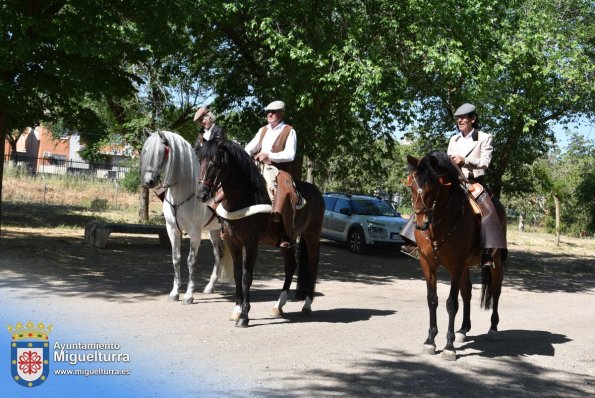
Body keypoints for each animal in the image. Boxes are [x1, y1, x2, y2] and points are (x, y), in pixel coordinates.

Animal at [140, 129, 233, 304]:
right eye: (145, 151)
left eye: (161, 152)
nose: (148, 181)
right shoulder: (172, 230)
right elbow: (176, 258)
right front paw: (175, 292)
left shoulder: (195, 232)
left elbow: (191, 261)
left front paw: (189, 294)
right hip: (214, 230)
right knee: (219, 253)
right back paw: (209, 287)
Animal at [197, 138, 326, 328]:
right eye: (200, 160)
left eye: (215, 162)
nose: (201, 194)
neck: (245, 198)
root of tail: (318, 193)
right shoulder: (233, 242)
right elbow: (237, 275)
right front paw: (237, 310)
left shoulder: (251, 242)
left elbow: (247, 276)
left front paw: (244, 316)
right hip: (286, 242)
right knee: (291, 266)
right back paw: (278, 305)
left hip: (312, 236)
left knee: (311, 266)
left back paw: (307, 305)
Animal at [406, 150, 508, 360]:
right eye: (411, 185)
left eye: (432, 187)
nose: (421, 224)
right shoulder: (427, 264)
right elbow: (432, 299)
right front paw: (430, 341)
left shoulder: (455, 265)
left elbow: (451, 303)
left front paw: (449, 346)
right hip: (466, 266)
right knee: (467, 292)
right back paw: (463, 330)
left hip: (495, 262)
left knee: (495, 291)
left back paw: (493, 328)